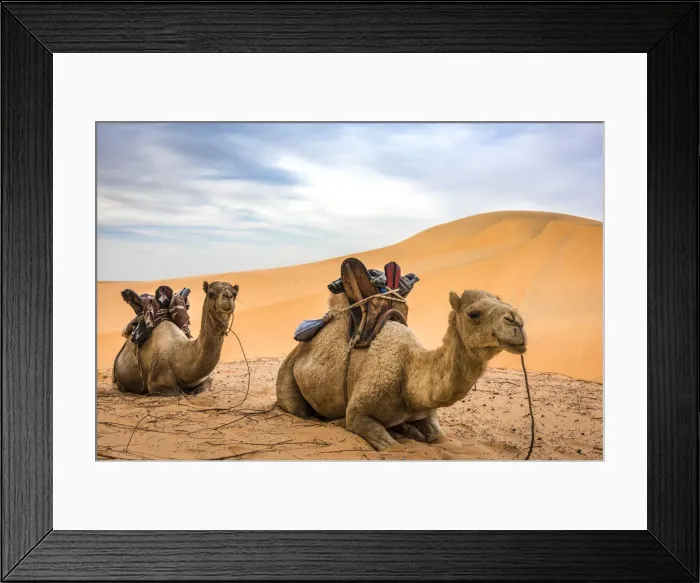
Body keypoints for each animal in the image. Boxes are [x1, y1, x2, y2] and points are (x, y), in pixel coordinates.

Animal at [276, 289, 527, 450]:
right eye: (473, 313)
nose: (517, 321)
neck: (408, 371)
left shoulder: (427, 412)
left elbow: (440, 437)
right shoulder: (358, 412)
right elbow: (393, 448)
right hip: (287, 377)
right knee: (298, 408)